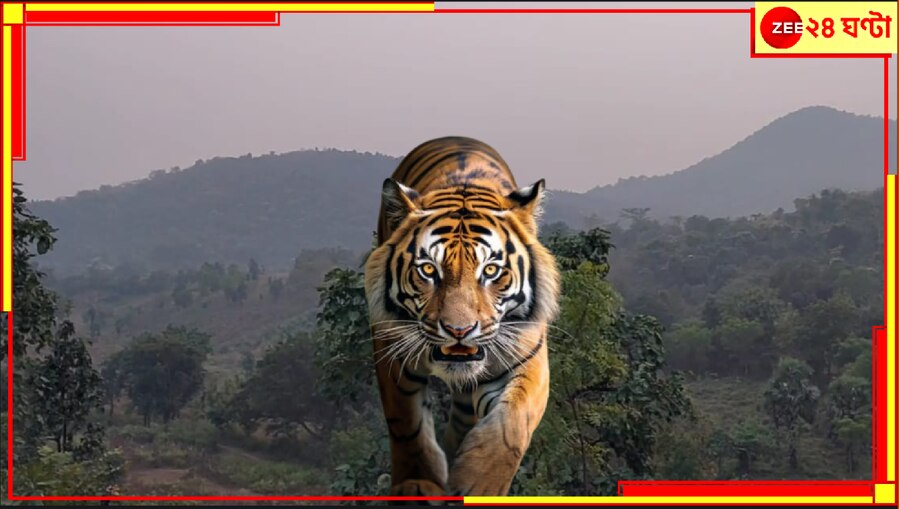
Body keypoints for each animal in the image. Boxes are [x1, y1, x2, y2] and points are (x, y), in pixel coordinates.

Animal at [363, 136, 561, 498]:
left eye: (491, 271)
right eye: (429, 270)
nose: (459, 330)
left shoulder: (529, 359)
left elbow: (512, 423)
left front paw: (478, 484)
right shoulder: (393, 355)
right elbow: (408, 426)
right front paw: (418, 485)